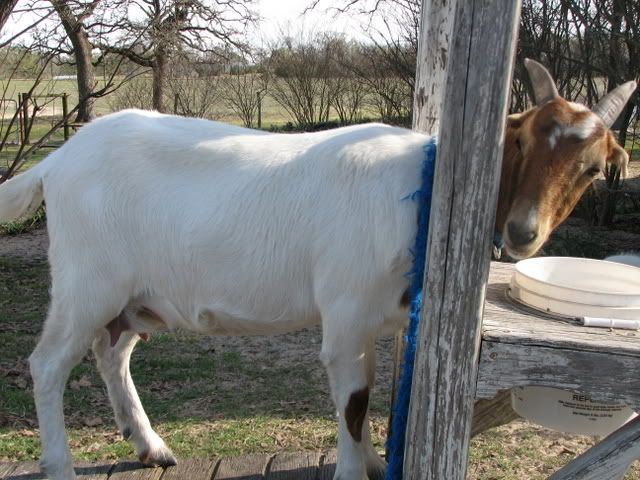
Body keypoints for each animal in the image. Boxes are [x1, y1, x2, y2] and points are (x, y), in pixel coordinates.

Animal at [0, 60, 634, 480]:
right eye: (522, 140)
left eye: (592, 167)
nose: (525, 232)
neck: (423, 192)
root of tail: (58, 160)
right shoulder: (347, 312)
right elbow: (353, 401)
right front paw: (356, 470)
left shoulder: (370, 318)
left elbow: (365, 395)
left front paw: (374, 459)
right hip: (87, 281)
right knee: (49, 363)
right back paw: (61, 465)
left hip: (134, 293)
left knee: (112, 352)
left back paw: (150, 446)